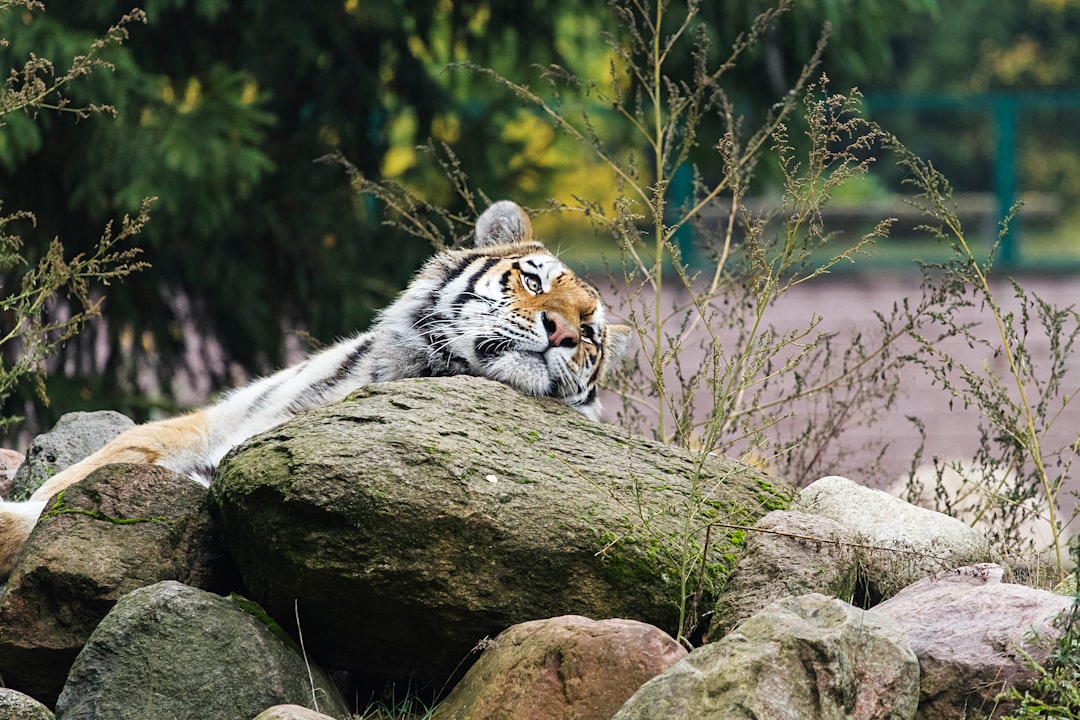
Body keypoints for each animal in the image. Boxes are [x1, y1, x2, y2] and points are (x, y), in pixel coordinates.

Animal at [0, 199, 630, 578]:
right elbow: (109, 455)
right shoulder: (218, 420)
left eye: (590, 334)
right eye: (533, 281)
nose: (565, 333)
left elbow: (31, 522)